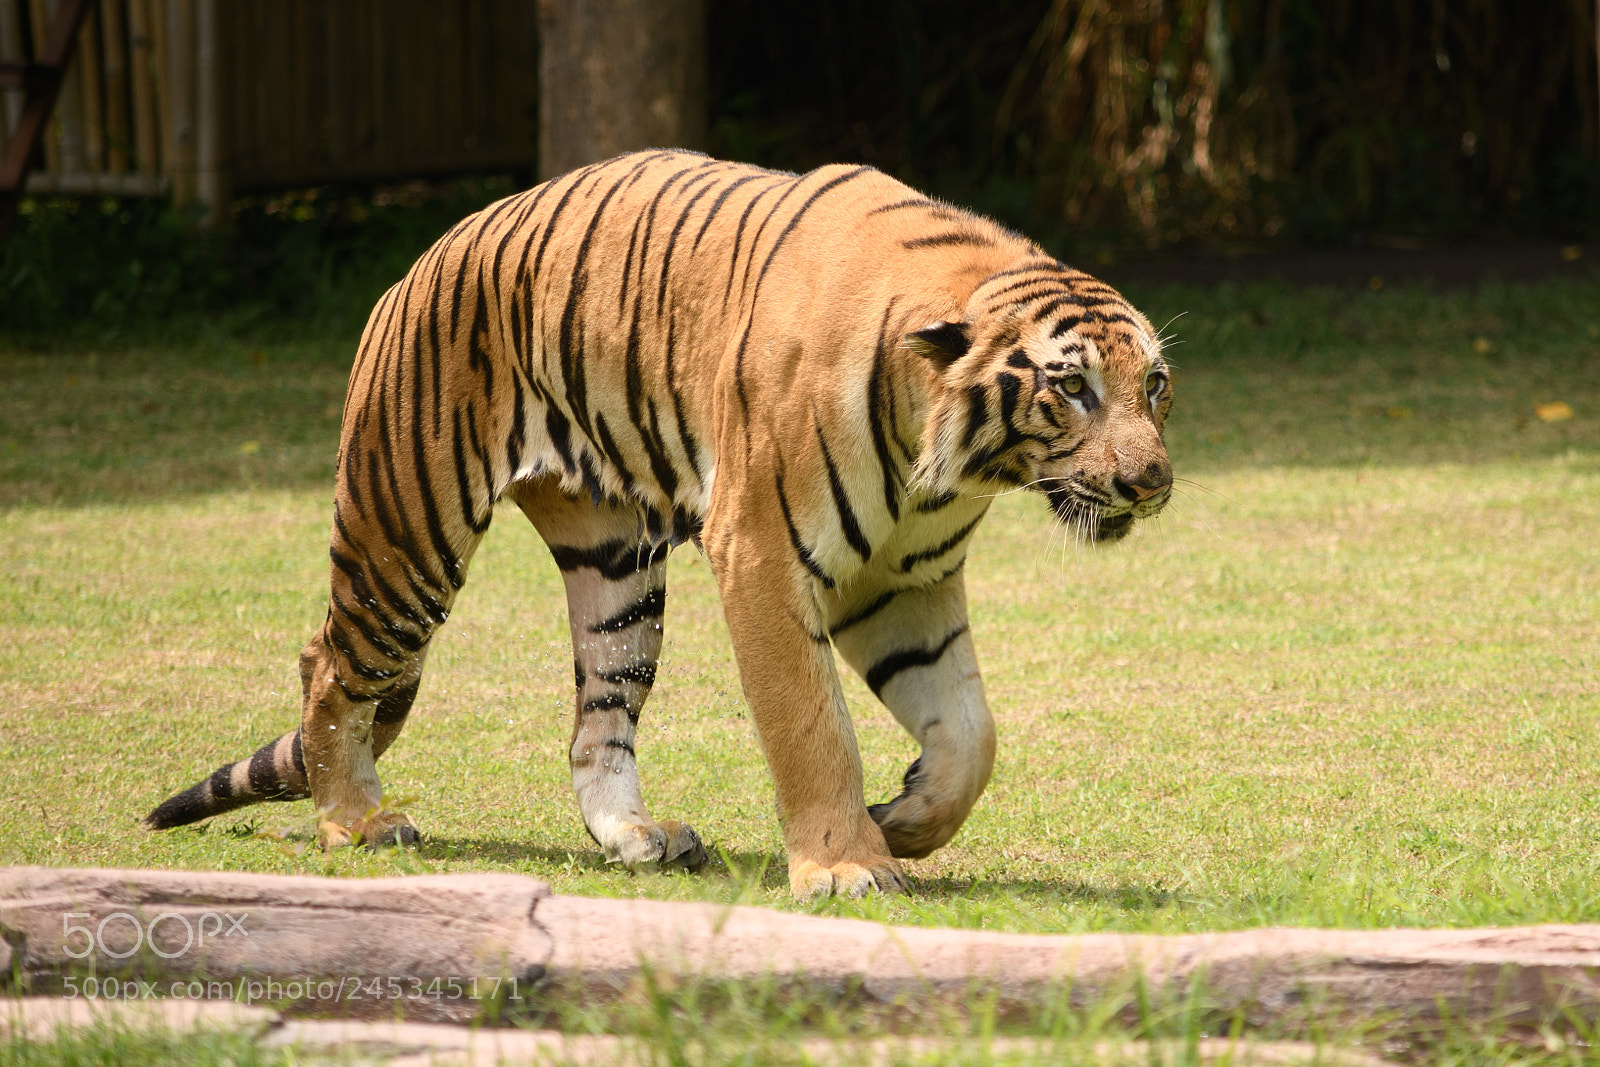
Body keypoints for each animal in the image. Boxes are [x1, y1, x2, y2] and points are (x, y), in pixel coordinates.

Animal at [144, 150, 1173, 899]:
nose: (1154, 480)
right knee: (330, 661)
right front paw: (847, 864)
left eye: (1154, 384)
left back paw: (637, 837)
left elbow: (970, 734)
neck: (948, 463)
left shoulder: (904, 583)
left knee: (594, 722)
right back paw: (355, 820)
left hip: (616, 571)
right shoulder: (763, 557)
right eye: (1072, 387)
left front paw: (910, 819)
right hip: (406, 529)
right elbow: (813, 728)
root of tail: (428, 256)